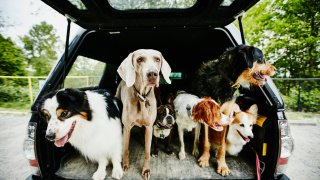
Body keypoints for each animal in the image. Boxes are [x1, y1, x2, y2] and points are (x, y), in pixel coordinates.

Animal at [114, 48, 171, 179]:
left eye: (157, 59)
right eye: (139, 59)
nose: (153, 74)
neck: (142, 97)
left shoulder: (149, 127)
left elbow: (147, 151)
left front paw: (146, 170)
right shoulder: (127, 127)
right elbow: (125, 149)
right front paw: (125, 165)